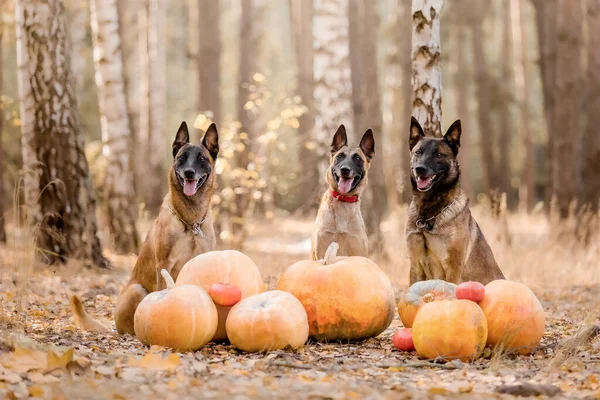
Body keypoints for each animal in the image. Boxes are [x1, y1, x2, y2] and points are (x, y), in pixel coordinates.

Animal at [110, 122, 218, 334]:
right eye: (182, 158)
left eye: (202, 158)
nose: (189, 172)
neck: (191, 221)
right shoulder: (164, 264)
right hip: (136, 290)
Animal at [310, 126, 376, 260]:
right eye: (339, 156)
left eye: (357, 158)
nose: (345, 169)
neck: (343, 199)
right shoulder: (321, 253)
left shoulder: (359, 252)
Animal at [404, 117, 506, 286]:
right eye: (418, 152)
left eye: (439, 154)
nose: (420, 169)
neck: (429, 213)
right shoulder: (415, 266)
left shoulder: (454, 266)